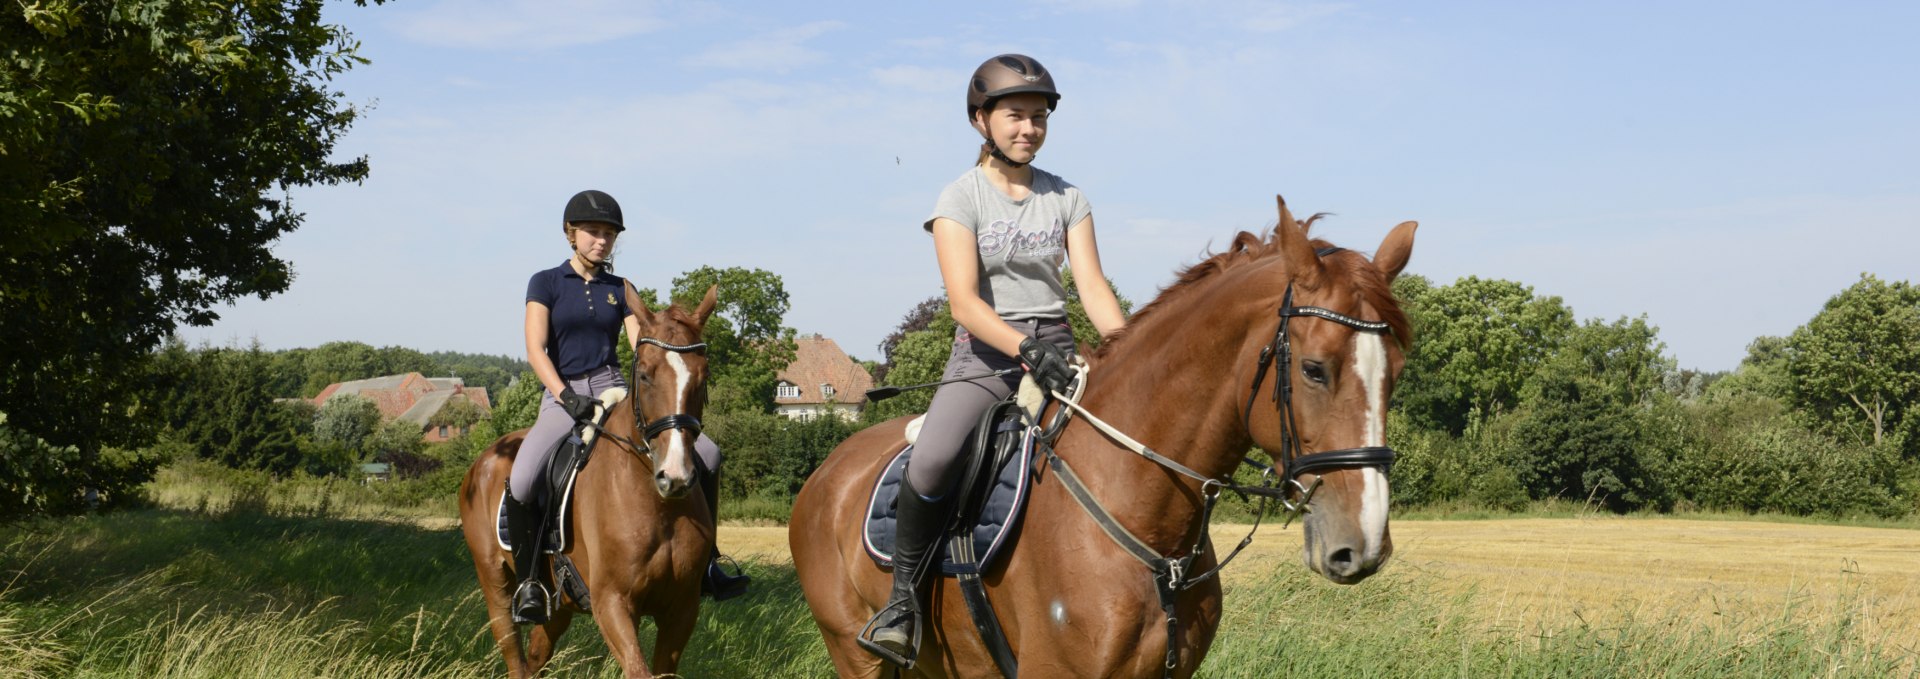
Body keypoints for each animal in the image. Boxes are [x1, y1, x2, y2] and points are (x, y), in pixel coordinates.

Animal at [458, 285, 721, 679]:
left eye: (702, 377)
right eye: (645, 375)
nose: (674, 477)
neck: (658, 506)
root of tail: (483, 461)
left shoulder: (681, 609)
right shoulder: (612, 603)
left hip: (558, 605)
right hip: (495, 585)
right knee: (515, 655)